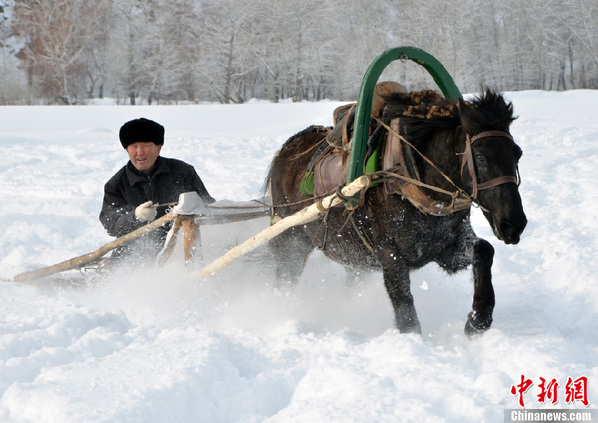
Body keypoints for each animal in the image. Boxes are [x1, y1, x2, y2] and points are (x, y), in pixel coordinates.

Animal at [264, 88, 528, 336]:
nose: (514, 224)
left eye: (517, 153)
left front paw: (478, 319)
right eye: (480, 157)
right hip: (291, 239)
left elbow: (484, 250)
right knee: (285, 278)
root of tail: (284, 150)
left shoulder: (446, 247)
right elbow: (404, 305)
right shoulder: (390, 255)